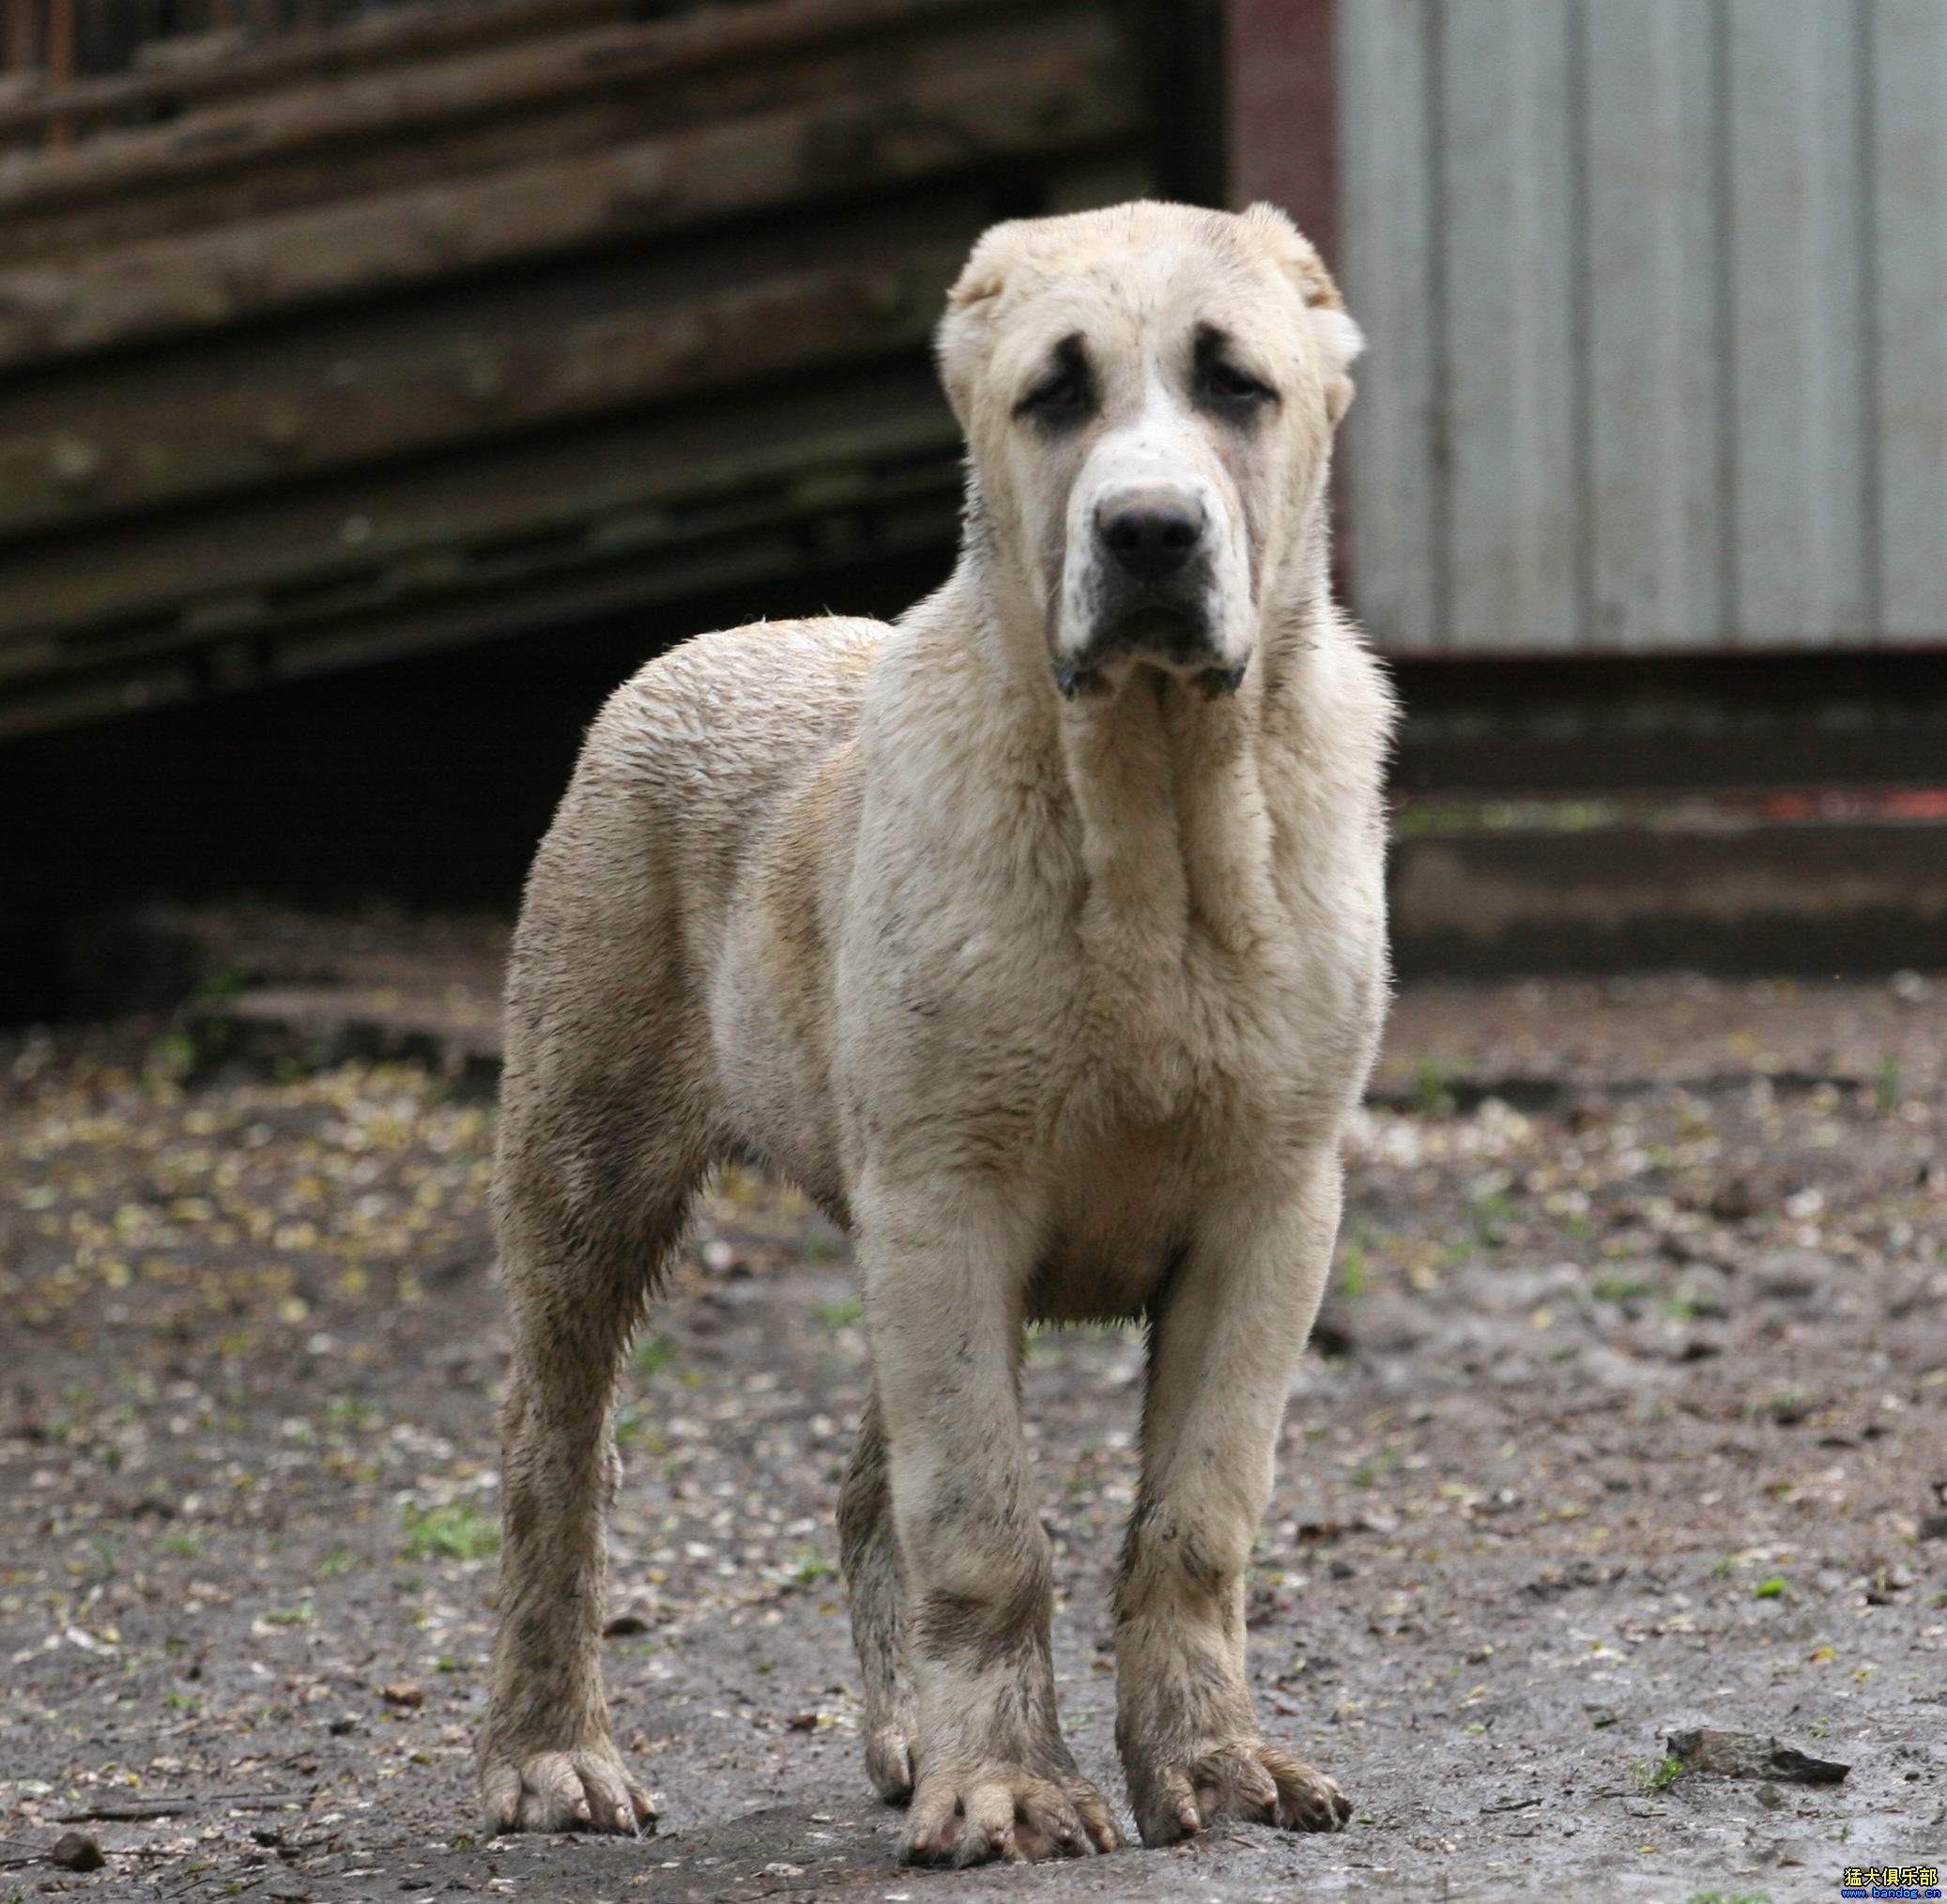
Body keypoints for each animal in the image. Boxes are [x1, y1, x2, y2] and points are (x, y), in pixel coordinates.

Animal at [486, 200, 1402, 1861]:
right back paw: (546, 1756)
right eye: (1054, 393)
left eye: (1236, 386)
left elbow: (1195, 1521)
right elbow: (979, 1521)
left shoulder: (1272, 1209)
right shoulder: (943, 1203)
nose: (1149, 535)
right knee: (553, 1455)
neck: (1149, 808)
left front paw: (1209, 1762)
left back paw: (904, 1733)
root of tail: (716, 638)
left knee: (863, 1486)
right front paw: (1011, 1787)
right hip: (582, 1167)